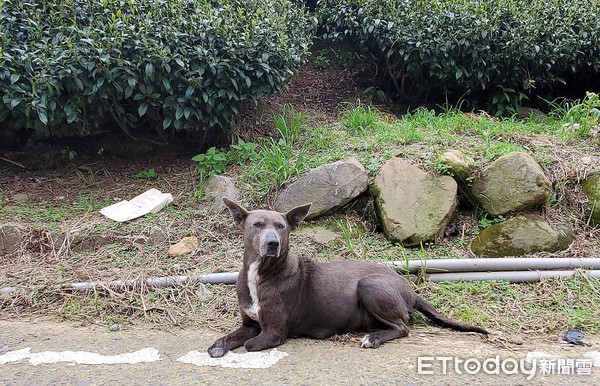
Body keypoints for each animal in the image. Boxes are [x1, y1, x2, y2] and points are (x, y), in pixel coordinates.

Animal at [207, 199, 488, 358]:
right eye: (257, 224)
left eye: (281, 227)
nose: (272, 243)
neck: (262, 273)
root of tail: (409, 288)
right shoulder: (250, 324)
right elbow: (229, 337)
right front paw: (219, 345)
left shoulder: (273, 332)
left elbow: (248, 345)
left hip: (369, 285)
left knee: (403, 327)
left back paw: (373, 339)